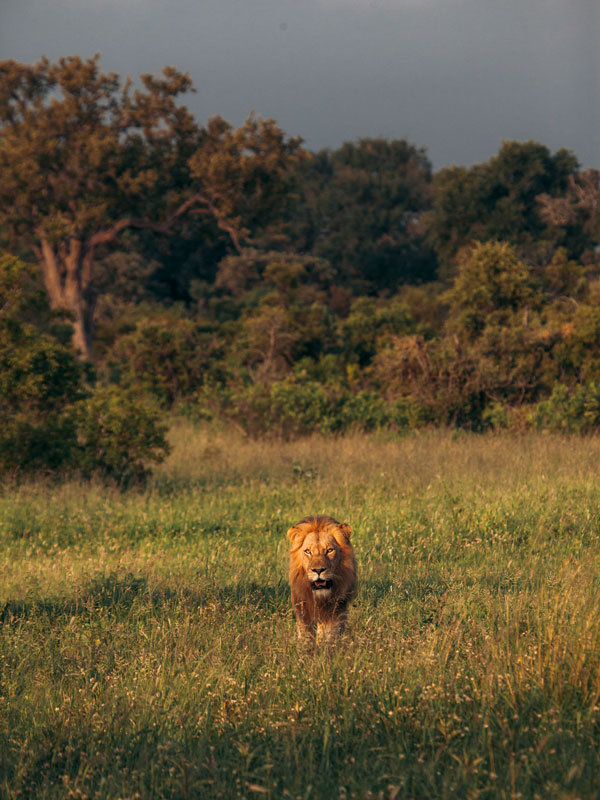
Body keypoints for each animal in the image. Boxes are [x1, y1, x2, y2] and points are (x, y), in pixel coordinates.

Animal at [287, 515, 357, 647]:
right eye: (308, 551)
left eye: (329, 550)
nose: (318, 570)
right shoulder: (302, 606)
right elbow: (306, 633)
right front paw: (306, 649)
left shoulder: (337, 608)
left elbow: (331, 635)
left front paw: (328, 649)